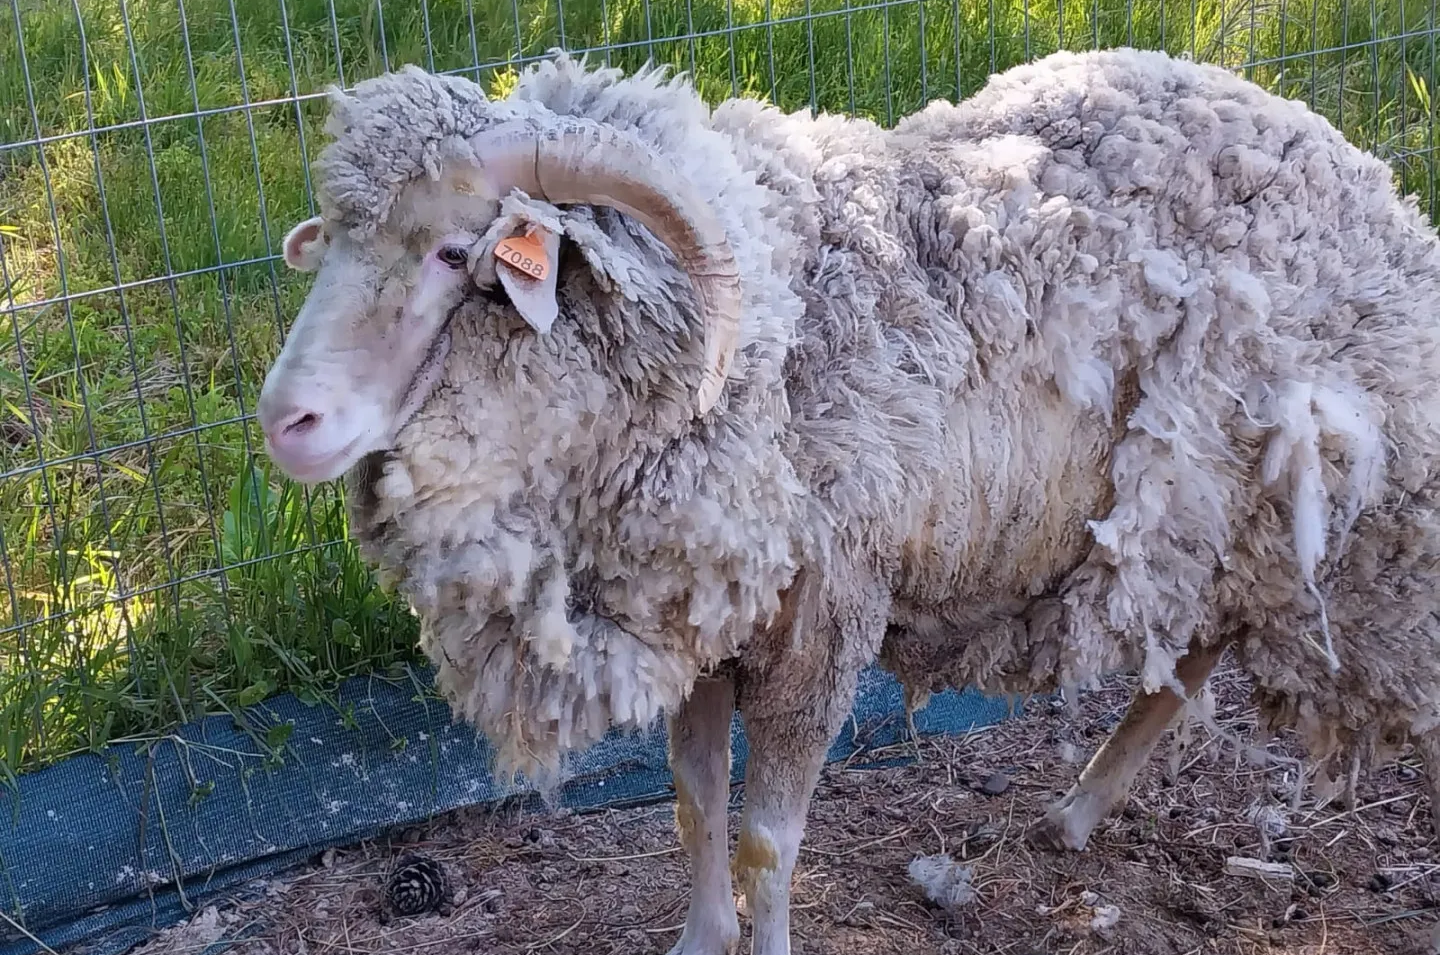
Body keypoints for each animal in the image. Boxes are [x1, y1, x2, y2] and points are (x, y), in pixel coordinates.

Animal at [255, 46, 1440, 955]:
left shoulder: (821, 623)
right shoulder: (705, 611)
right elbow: (695, 803)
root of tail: (1344, 150)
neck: (755, 345)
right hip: (1214, 517)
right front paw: (699, 939)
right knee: (1190, 656)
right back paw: (1078, 810)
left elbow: (767, 839)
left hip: (1292, 516)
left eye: (456, 253)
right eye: (334, 239)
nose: (285, 421)